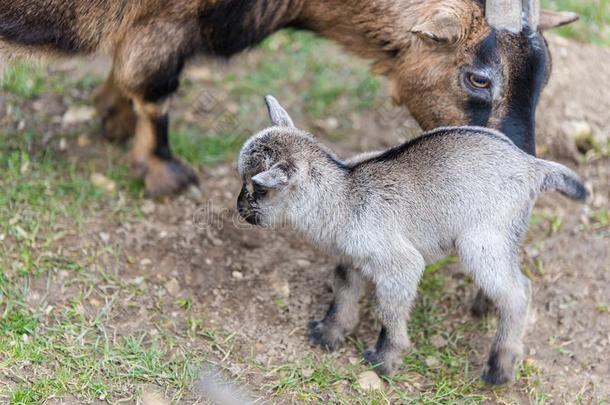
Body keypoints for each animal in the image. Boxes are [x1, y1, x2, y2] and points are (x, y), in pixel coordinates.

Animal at [0, 0, 576, 196]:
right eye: (479, 79)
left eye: (544, 77)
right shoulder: (162, 27)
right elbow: (155, 94)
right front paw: (165, 175)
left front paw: (111, 118)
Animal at [235, 96, 588, 384]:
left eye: (259, 188)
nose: (239, 208)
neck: (345, 197)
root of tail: (533, 166)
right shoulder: (351, 259)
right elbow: (343, 295)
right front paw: (329, 334)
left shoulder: (399, 266)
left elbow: (389, 314)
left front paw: (384, 361)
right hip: (500, 239)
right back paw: (485, 307)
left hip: (481, 241)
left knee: (518, 293)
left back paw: (499, 370)